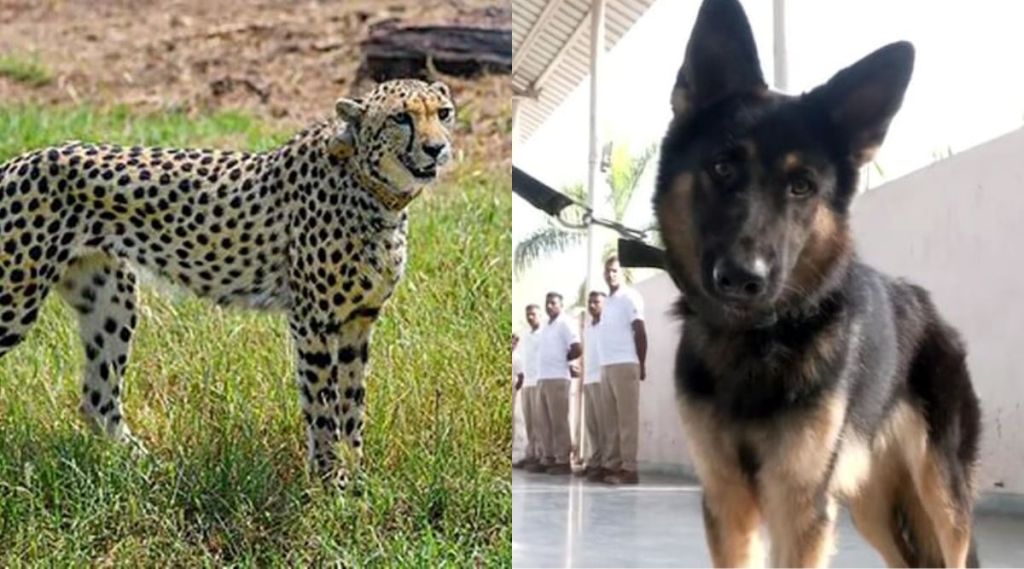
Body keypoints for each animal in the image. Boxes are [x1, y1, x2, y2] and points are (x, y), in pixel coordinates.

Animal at [0, 77, 456, 487]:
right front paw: (332, 484)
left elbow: (352, 407)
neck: (372, 187)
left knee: (97, 400)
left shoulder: (358, 321)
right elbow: (323, 407)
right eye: (401, 117)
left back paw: (146, 466)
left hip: (112, 298)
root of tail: (20, 159)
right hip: (15, 299)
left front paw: (359, 480)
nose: (437, 148)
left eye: (443, 113)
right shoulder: (313, 321)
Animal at [655, 2, 983, 564]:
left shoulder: (799, 507)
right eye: (722, 168)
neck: (757, 344)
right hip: (871, 507)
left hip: (941, 494)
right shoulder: (729, 504)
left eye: (802, 186)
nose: (742, 278)